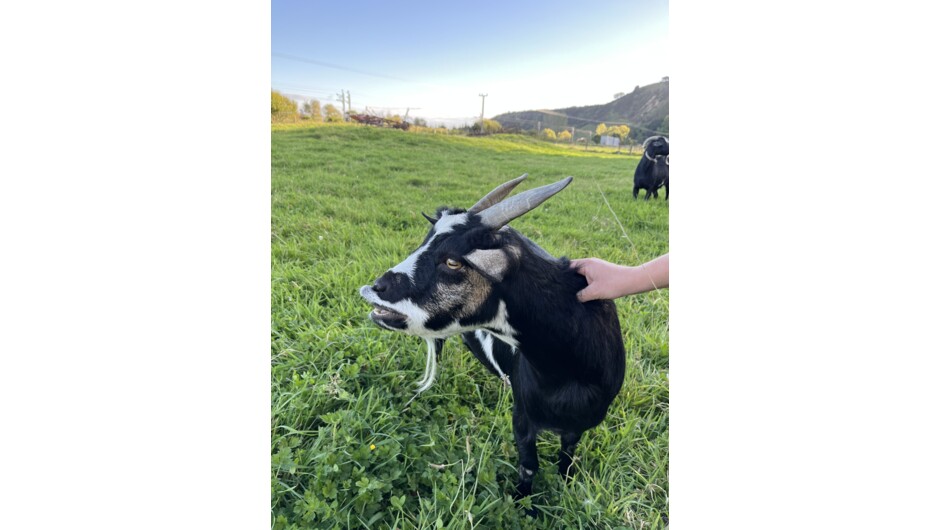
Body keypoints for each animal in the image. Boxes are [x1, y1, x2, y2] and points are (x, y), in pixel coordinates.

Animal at [359, 174, 626, 510]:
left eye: (453, 262)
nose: (376, 288)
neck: (568, 373)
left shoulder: (578, 425)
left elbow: (567, 457)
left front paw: (565, 487)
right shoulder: (522, 417)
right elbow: (529, 465)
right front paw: (523, 505)